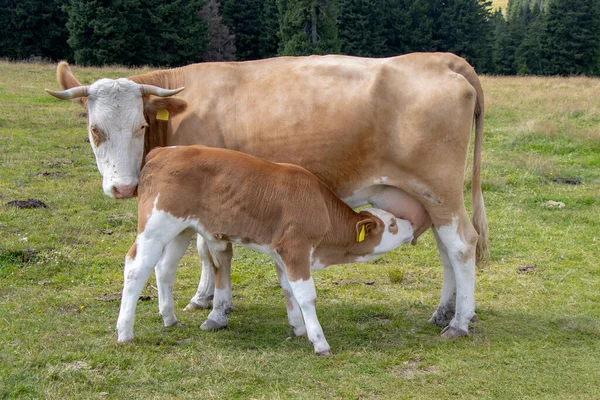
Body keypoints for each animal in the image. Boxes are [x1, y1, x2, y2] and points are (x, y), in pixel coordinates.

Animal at [117, 145, 418, 354]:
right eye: (392, 223)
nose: (411, 224)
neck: (321, 208)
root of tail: (163, 151)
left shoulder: (281, 253)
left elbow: (288, 290)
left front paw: (299, 328)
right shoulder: (295, 248)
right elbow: (306, 295)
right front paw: (319, 341)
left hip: (181, 230)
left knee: (164, 268)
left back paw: (169, 318)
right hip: (155, 226)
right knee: (136, 267)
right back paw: (125, 332)